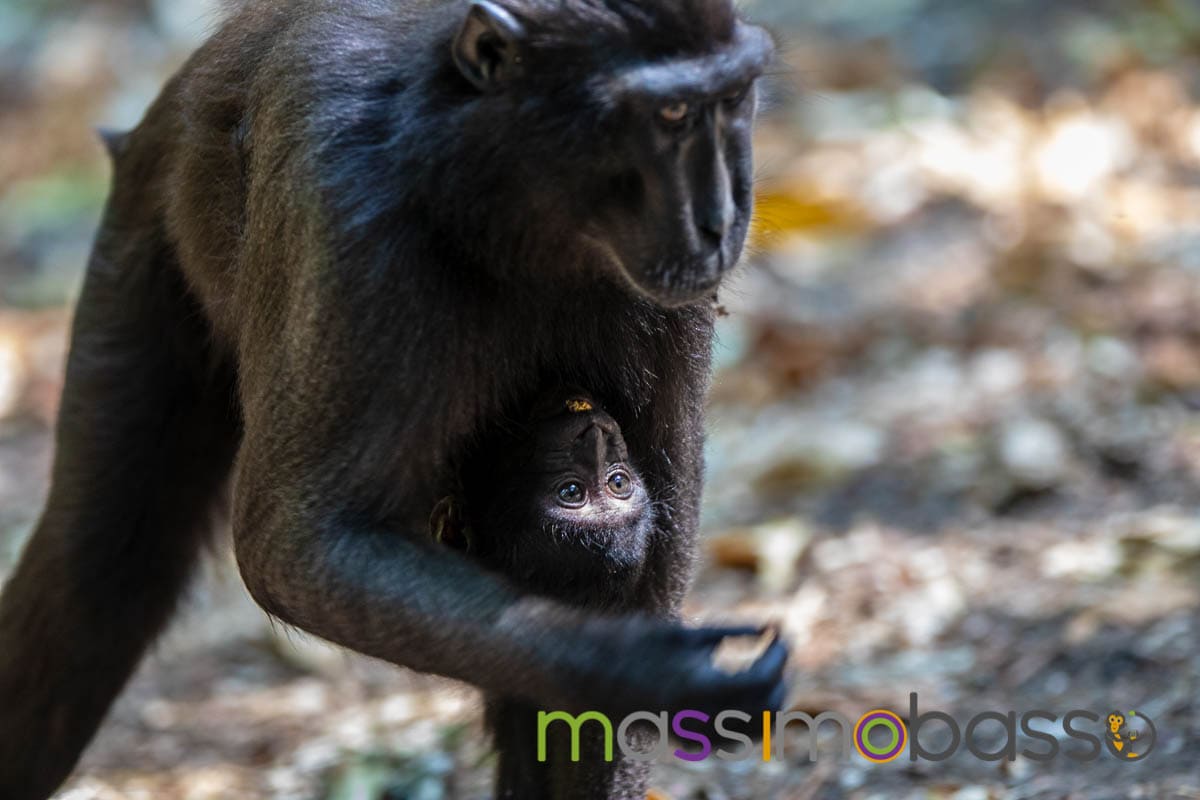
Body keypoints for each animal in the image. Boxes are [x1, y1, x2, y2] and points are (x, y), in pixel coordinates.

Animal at [0, 1, 784, 799]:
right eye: (673, 114)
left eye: (732, 103)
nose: (723, 219)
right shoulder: (352, 209)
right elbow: (295, 544)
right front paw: (641, 667)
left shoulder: (657, 291)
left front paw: (635, 673)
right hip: (146, 209)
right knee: (97, 564)